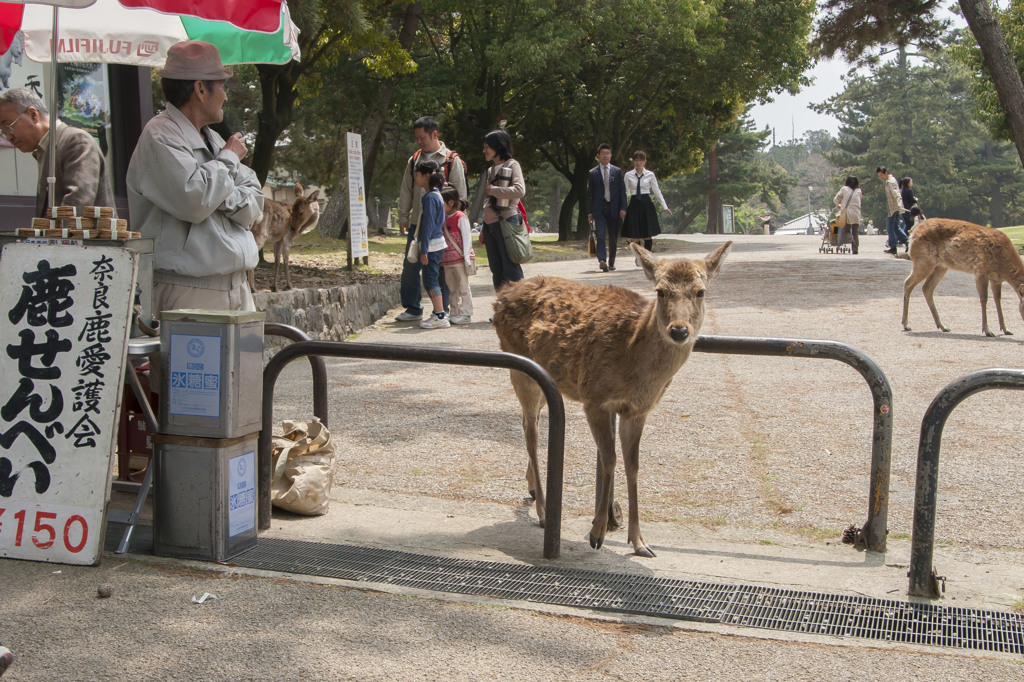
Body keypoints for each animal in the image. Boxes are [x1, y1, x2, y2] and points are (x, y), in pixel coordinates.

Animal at [493, 241, 729, 557]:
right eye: (660, 291)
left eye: (700, 291)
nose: (679, 330)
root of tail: (501, 294)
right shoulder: (595, 398)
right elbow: (609, 459)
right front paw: (597, 533)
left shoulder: (637, 410)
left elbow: (633, 466)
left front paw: (640, 541)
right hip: (521, 369)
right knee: (531, 434)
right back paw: (543, 511)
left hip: (546, 381)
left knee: (526, 421)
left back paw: (531, 487)